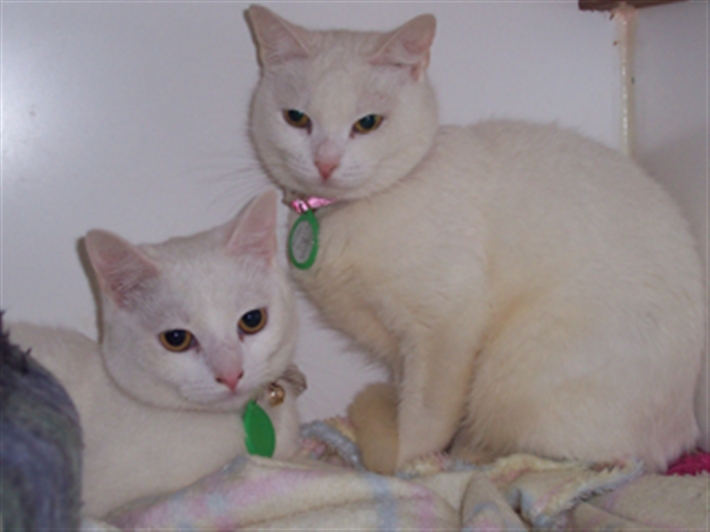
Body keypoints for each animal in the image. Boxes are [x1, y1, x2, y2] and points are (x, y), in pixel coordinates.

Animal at [245, 6, 708, 474]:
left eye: (368, 123)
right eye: (296, 118)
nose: (325, 162)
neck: (340, 215)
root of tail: (684, 430)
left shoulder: (445, 326)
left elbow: (424, 416)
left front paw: (412, 466)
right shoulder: (397, 346)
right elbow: (407, 392)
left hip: (514, 367)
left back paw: (469, 452)